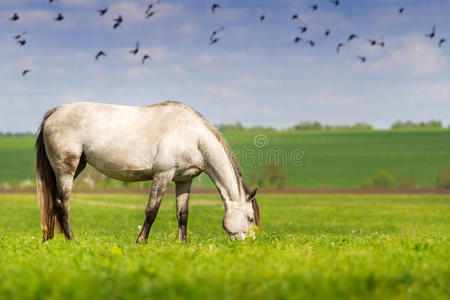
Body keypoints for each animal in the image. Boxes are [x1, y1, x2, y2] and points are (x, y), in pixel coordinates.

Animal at [35, 102, 260, 243]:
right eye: (250, 218)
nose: (249, 245)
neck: (192, 136)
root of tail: (54, 112)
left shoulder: (184, 180)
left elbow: (183, 214)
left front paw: (183, 243)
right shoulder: (163, 175)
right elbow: (152, 211)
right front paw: (141, 241)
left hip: (75, 167)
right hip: (67, 169)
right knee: (62, 204)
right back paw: (71, 240)